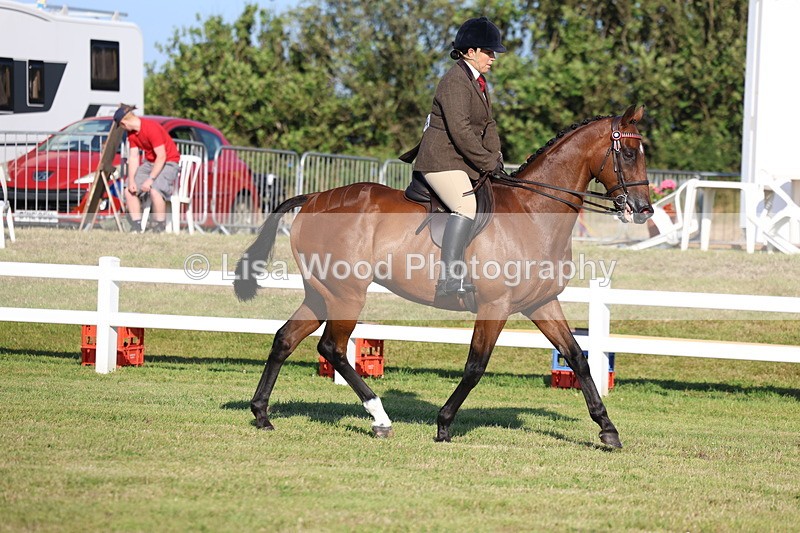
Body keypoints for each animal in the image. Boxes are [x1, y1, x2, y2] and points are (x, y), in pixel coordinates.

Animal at [234, 105, 652, 447]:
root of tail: (314, 197)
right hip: (346, 294)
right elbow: (475, 366)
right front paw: (444, 423)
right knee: (332, 348)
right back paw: (380, 419)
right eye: (629, 153)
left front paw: (608, 429)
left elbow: (578, 358)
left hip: (321, 294)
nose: (643, 209)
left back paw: (261, 413)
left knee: (285, 339)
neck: (533, 212)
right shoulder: (495, 306)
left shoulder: (541, 303)